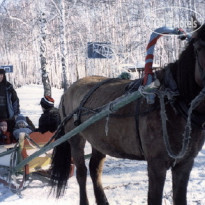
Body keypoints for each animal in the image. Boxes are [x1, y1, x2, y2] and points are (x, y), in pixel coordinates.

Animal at [50, 23, 205, 203]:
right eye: (199, 47)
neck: (172, 102)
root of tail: (69, 89)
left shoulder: (185, 164)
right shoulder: (156, 165)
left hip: (100, 141)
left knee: (95, 168)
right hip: (75, 139)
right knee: (81, 173)